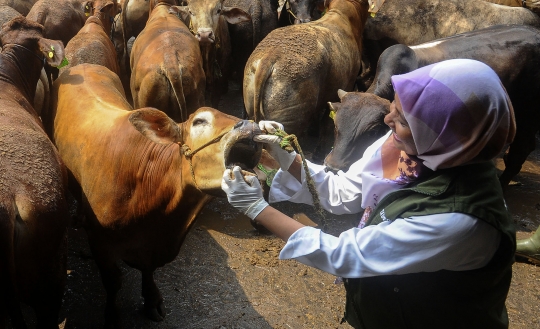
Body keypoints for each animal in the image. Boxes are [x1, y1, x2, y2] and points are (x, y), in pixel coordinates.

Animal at [49, 62, 262, 326]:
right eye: (199, 121)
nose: (250, 124)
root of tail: (84, 65)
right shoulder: (100, 243)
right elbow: (113, 283)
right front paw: (112, 316)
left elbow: (148, 271)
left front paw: (151, 300)